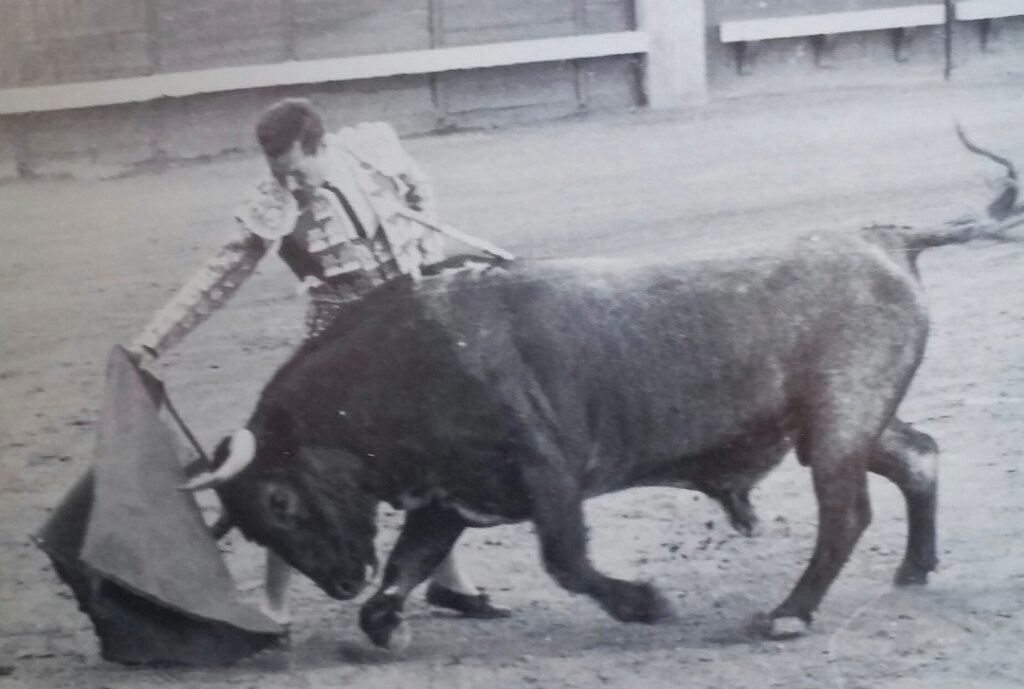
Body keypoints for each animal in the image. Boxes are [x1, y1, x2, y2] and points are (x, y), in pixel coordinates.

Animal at [182, 142, 1015, 647]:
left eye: (280, 500)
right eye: (250, 523)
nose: (336, 578)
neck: (405, 366)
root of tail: (883, 237)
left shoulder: (545, 471)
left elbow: (564, 560)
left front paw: (645, 603)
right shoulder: (446, 499)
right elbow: (402, 572)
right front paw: (387, 621)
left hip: (839, 423)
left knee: (846, 514)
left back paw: (787, 615)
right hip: (844, 421)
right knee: (918, 454)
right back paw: (914, 568)